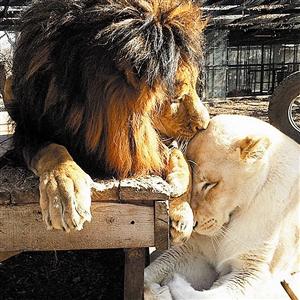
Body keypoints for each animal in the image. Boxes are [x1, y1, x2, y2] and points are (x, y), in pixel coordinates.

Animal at [5, 0, 209, 236]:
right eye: (177, 97)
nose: (205, 124)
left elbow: (178, 156)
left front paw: (181, 203)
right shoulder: (28, 132)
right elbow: (52, 150)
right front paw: (65, 191)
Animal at [144, 114, 298, 298]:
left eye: (210, 184)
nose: (193, 225)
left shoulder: (254, 271)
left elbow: (207, 296)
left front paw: (172, 283)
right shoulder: (194, 251)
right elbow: (153, 269)